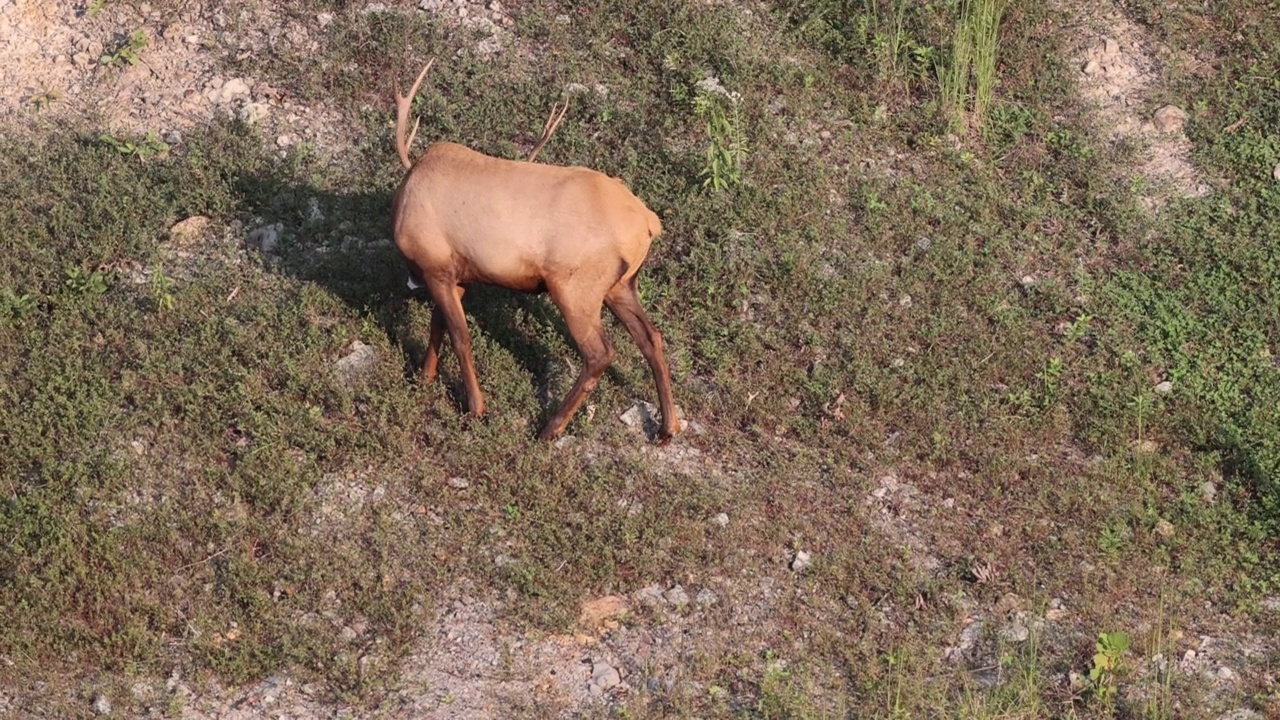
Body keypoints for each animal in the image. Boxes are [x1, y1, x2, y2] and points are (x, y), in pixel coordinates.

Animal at [389, 61, 680, 440]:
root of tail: (647, 223)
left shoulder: (436, 267)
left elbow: (461, 338)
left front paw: (475, 408)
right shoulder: (455, 275)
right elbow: (438, 327)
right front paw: (425, 378)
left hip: (575, 288)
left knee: (600, 353)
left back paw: (550, 428)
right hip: (621, 286)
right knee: (652, 338)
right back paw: (667, 427)